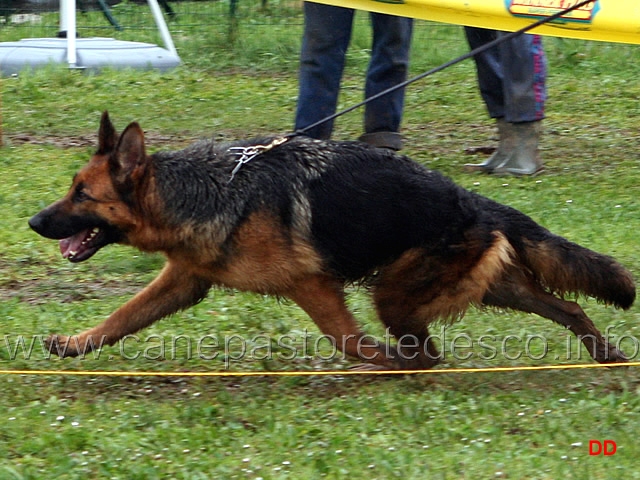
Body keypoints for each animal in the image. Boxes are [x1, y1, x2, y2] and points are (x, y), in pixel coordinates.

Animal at [30, 112, 636, 368]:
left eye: (82, 194)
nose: (34, 221)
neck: (207, 191)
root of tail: (473, 201)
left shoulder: (314, 286)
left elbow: (350, 341)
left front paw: (382, 363)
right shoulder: (184, 282)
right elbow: (120, 318)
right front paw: (75, 344)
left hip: (397, 293)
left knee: (427, 350)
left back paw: (413, 366)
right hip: (482, 287)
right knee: (567, 306)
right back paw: (604, 354)